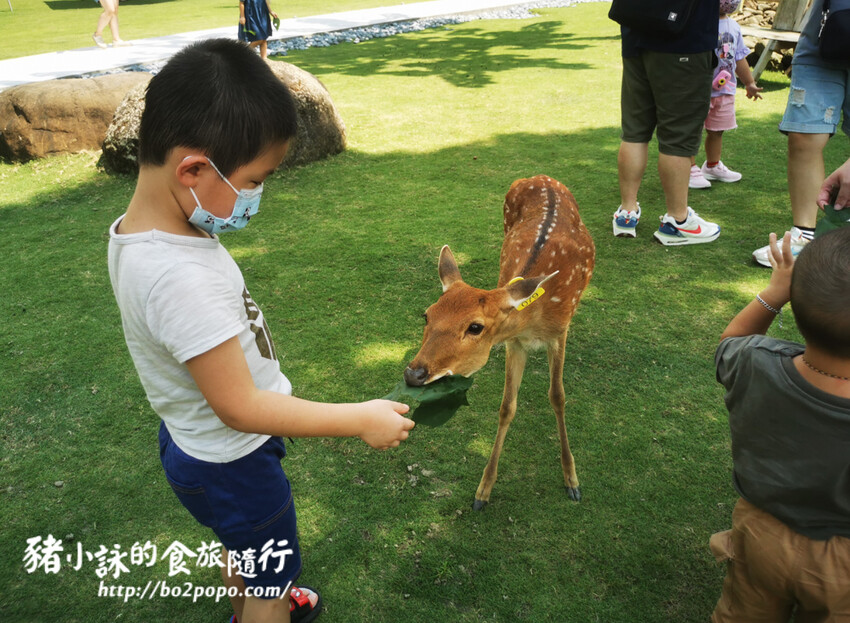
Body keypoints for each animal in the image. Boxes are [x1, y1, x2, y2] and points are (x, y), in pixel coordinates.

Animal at [404, 175, 595, 510]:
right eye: (427, 314)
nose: (414, 374)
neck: (535, 320)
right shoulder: (513, 343)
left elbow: (557, 396)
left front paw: (572, 480)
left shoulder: (560, 332)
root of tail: (540, 176)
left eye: (475, 327)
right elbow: (507, 406)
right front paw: (483, 492)